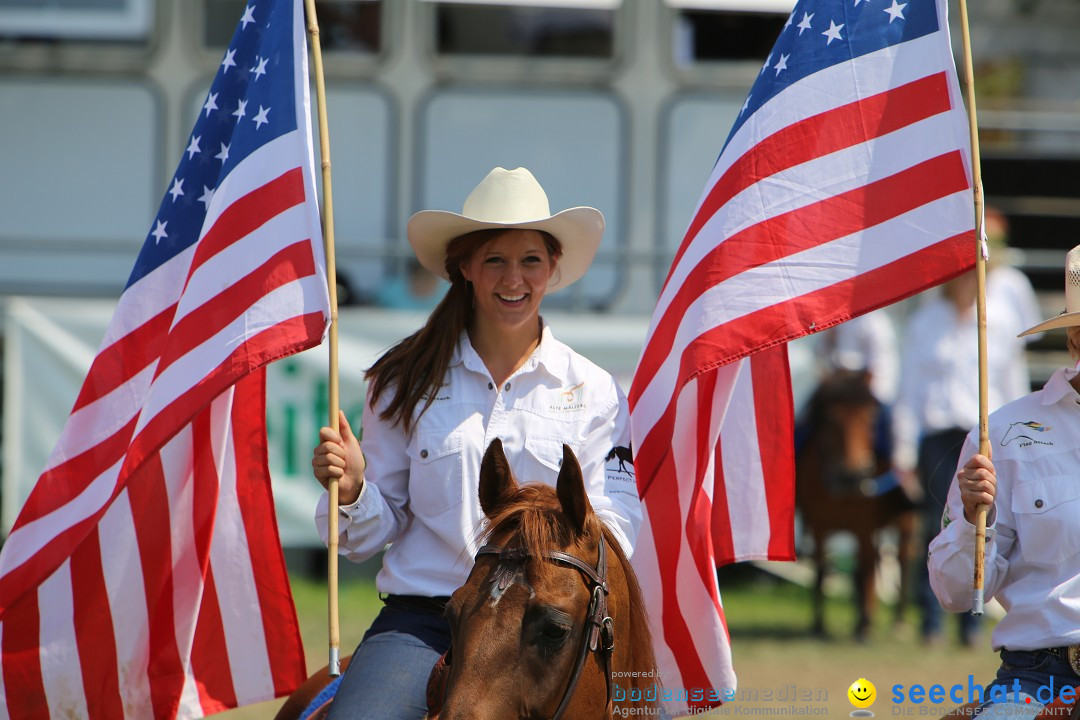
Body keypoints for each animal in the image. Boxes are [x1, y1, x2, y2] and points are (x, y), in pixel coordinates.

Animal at [799, 371, 915, 643]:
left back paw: (898, 621)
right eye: (831, 417)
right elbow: (821, 568)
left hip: (905, 524)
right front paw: (818, 624)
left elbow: (865, 569)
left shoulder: (864, 526)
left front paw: (864, 624)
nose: (851, 475)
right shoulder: (819, 526)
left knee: (902, 561)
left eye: (870, 416)